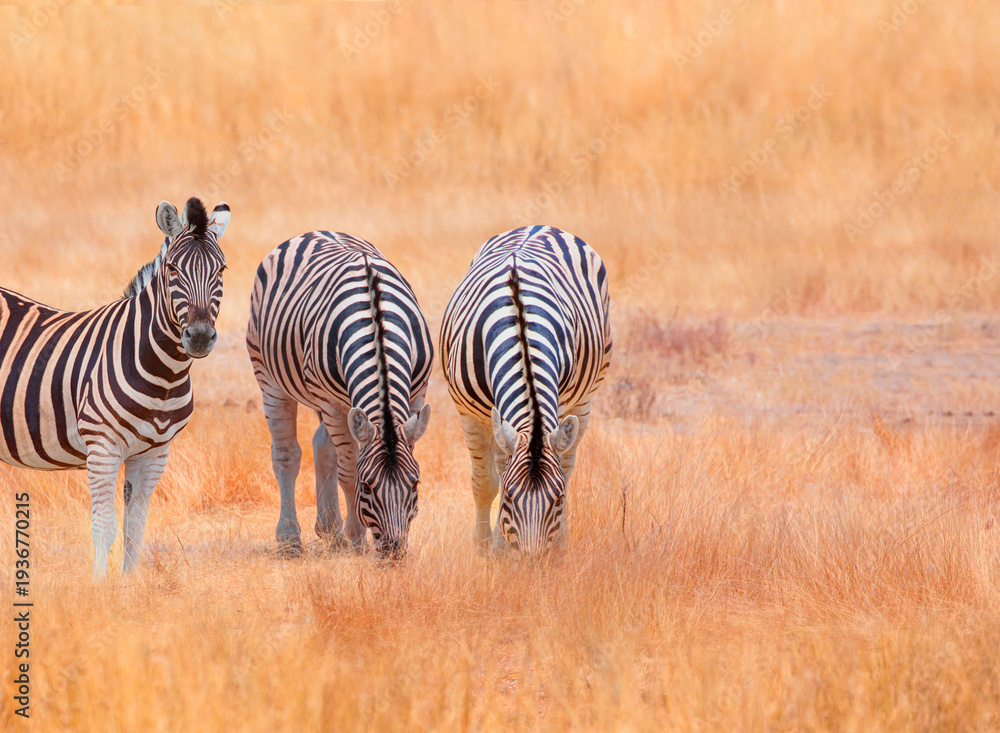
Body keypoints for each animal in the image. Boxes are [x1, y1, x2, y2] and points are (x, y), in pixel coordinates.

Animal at [0, 197, 230, 575]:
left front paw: (129, 587)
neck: (165, 375)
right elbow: (104, 526)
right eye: (172, 270)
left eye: (221, 270)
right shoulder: (103, 447)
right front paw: (99, 587)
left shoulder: (154, 453)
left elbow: (135, 526)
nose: (198, 337)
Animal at [246, 231, 433, 560]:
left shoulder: (417, 393)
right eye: (368, 487)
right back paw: (290, 538)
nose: (394, 551)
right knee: (286, 454)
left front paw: (347, 534)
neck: (376, 324)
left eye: (415, 484)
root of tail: (314, 233)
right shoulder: (332, 404)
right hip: (270, 378)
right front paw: (357, 538)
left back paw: (330, 530)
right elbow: (348, 472)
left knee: (322, 443)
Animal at [440, 226, 612, 555]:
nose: (534, 561)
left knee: (567, 465)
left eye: (557, 499)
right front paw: (487, 547)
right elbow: (485, 482)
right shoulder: (470, 413)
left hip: (584, 399)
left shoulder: (559, 404)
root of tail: (542, 227)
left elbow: (560, 471)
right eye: (509, 496)